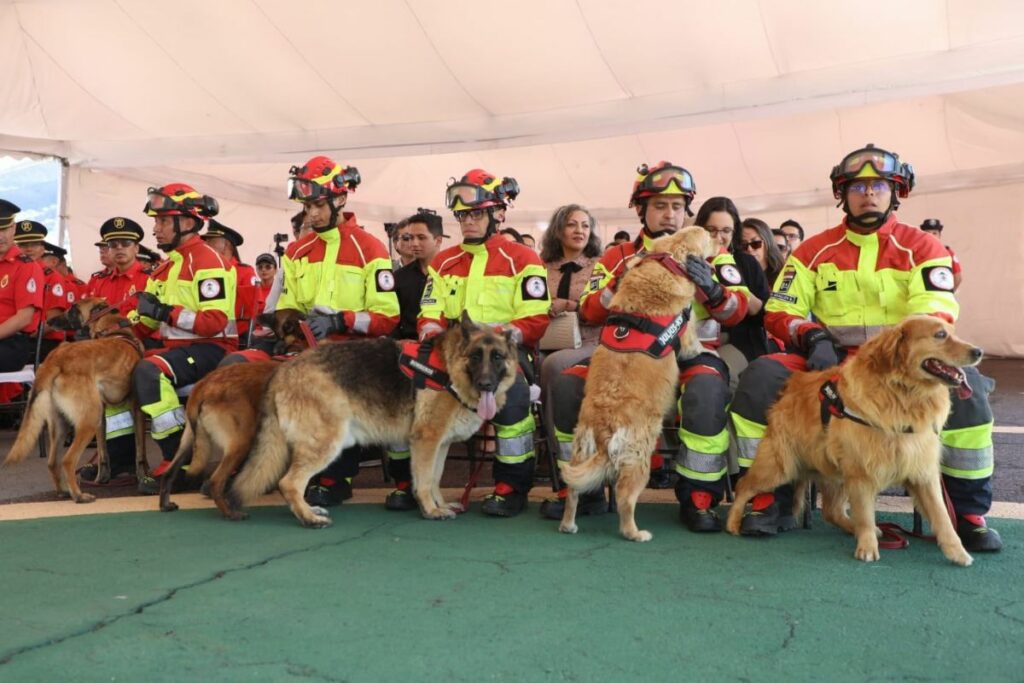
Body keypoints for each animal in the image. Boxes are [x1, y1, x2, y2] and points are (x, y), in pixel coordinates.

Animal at [2, 299, 147, 501]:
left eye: (73, 310)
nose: (48, 321)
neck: (115, 331)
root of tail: (56, 358)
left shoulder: (103, 418)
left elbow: (103, 454)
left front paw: (101, 479)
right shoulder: (135, 410)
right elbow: (140, 452)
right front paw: (144, 476)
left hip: (63, 423)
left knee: (52, 462)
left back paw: (64, 491)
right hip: (89, 420)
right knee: (67, 460)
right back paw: (79, 496)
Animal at [227, 315, 516, 528]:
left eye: (497, 357)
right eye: (476, 356)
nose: (486, 384)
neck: (449, 367)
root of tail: (282, 370)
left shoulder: (441, 445)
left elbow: (435, 478)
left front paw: (440, 505)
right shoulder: (426, 442)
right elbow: (423, 480)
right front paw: (430, 510)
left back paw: (309, 509)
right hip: (327, 443)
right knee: (289, 482)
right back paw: (309, 518)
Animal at [561, 227, 712, 540]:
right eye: (707, 236)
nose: (718, 237)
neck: (667, 260)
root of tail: (604, 429)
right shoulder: (687, 328)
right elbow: (694, 345)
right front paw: (707, 351)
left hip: (580, 451)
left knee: (572, 491)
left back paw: (568, 524)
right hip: (639, 456)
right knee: (624, 498)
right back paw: (634, 533)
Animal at [724, 315, 978, 565]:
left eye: (952, 332)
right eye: (940, 335)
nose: (978, 351)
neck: (903, 393)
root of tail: (793, 385)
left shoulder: (922, 471)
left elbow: (942, 516)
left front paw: (957, 551)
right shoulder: (861, 472)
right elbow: (865, 514)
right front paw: (867, 547)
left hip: (833, 473)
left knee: (832, 511)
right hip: (780, 466)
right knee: (743, 485)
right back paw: (733, 522)